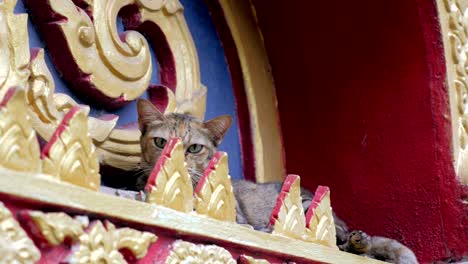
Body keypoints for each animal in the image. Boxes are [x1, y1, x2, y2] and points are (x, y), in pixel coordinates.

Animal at [137, 99, 418, 264]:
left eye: (194, 148)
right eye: (161, 142)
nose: (175, 157)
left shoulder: (237, 219)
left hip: (308, 206)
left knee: (349, 243)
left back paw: (356, 240)